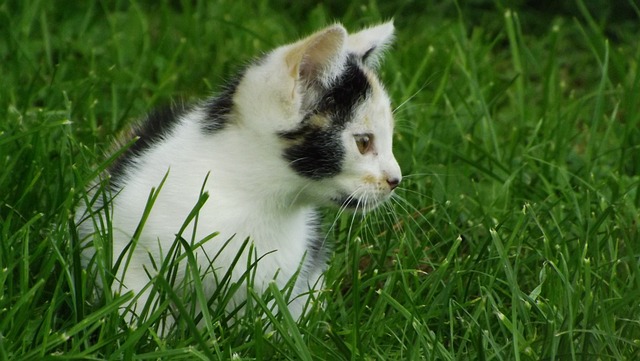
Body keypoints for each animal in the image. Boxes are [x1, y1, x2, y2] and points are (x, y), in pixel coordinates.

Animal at [76, 21, 400, 326]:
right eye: (364, 142)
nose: (395, 179)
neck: (251, 197)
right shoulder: (123, 233)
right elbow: (135, 296)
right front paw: (145, 330)